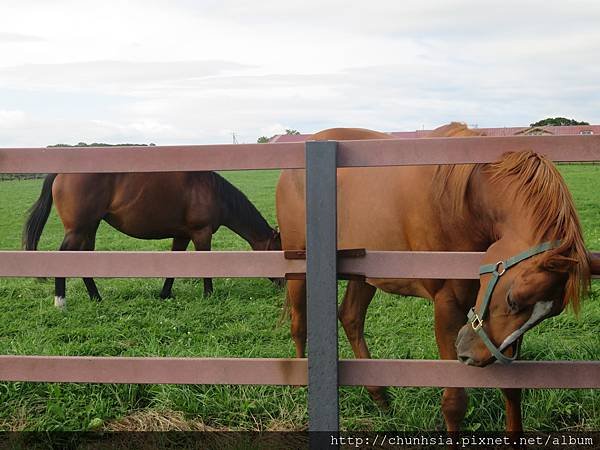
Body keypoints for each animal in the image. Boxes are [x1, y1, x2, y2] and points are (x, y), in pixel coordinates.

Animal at [24, 171, 282, 308]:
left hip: (89, 228)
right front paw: (208, 295)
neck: (212, 191)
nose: (282, 284)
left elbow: (174, 265)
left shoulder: (182, 235)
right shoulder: (202, 233)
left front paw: (164, 294)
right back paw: (60, 301)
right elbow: (205, 265)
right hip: (78, 230)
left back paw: (96, 297)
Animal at [276, 124, 596, 432]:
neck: (465, 200)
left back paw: (380, 397)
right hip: (298, 267)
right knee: (299, 323)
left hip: (364, 272)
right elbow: (454, 403)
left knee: (351, 317)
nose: (471, 354)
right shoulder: (447, 307)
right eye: (512, 299)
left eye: (549, 313)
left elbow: (512, 388)